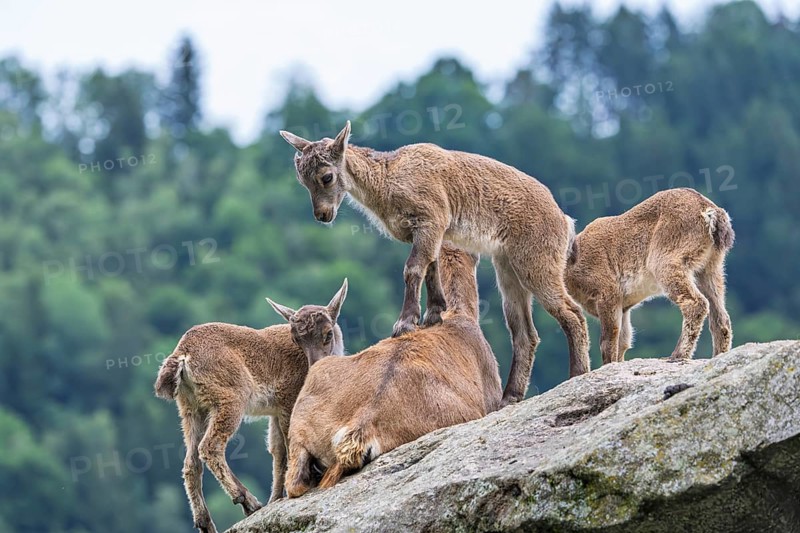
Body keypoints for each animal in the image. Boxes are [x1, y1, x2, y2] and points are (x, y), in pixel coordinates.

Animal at [153, 280, 347, 533]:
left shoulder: (275, 410)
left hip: (191, 409)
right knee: (210, 447)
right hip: (230, 400)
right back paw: (248, 501)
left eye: (327, 334)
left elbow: (277, 450)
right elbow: (289, 441)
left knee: (190, 462)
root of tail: (183, 354)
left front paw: (277, 497)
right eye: (296, 339)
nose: (315, 367)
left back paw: (206, 522)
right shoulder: (289, 399)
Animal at [280, 121, 589, 405]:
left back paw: (577, 375)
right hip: (508, 267)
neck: (387, 180)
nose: (322, 215)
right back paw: (509, 396)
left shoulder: (430, 221)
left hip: (536, 261)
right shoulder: (430, 233)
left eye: (327, 177)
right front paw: (434, 314)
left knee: (572, 312)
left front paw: (405, 323)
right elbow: (431, 269)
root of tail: (564, 221)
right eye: (302, 181)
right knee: (525, 333)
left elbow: (413, 268)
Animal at [565, 188, 734, 364]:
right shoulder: (623, 306)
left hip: (665, 261)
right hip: (710, 268)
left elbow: (608, 340)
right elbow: (624, 340)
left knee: (696, 303)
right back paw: (717, 355)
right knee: (721, 317)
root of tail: (710, 211)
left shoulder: (608, 293)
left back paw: (677, 355)